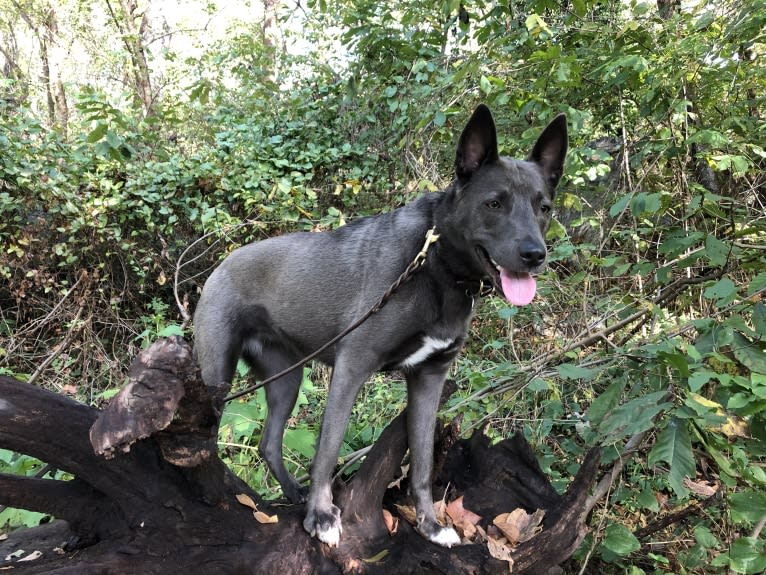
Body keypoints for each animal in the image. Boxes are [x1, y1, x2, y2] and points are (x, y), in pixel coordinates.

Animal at [195, 104, 568, 548]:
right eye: (494, 203)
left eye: (544, 207)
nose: (535, 255)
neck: (436, 263)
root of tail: (221, 265)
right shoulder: (352, 366)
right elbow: (328, 449)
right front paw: (321, 517)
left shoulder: (430, 379)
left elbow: (422, 464)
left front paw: (430, 525)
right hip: (216, 374)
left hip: (286, 376)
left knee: (269, 443)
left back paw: (291, 491)